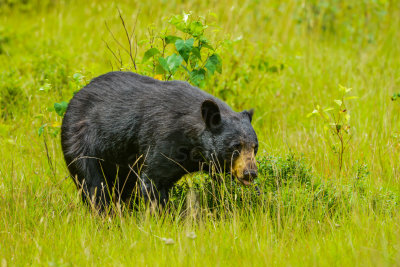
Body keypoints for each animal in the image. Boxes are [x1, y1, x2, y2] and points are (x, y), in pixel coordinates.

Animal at [61, 71, 258, 209]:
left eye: (255, 147)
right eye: (235, 146)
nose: (250, 173)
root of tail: (73, 100)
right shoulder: (164, 138)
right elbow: (153, 180)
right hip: (81, 143)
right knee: (93, 185)